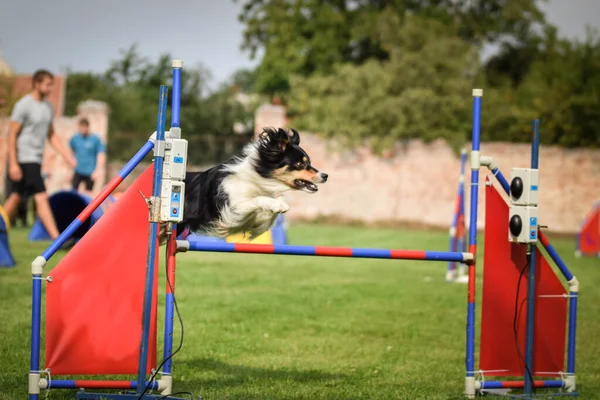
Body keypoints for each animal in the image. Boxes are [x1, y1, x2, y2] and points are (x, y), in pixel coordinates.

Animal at [175, 128, 328, 241]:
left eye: (309, 162)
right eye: (300, 164)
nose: (325, 176)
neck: (256, 178)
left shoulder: (254, 222)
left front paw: (279, 202)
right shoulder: (230, 212)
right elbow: (257, 200)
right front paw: (278, 205)